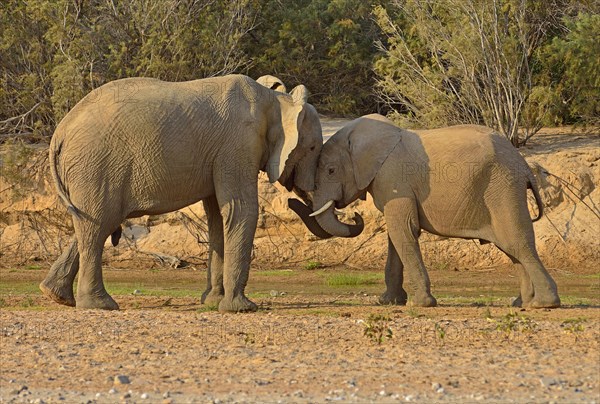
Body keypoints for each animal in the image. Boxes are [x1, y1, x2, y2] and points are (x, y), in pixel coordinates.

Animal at [41, 73, 324, 312]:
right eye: (312, 148)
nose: (295, 198)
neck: (273, 100)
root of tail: (59, 133)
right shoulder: (239, 144)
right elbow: (240, 209)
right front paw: (241, 309)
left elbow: (217, 217)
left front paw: (213, 302)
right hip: (96, 166)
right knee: (98, 225)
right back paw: (101, 305)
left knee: (91, 223)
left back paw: (57, 296)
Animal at [292, 114, 560, 310]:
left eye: (330, 170)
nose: (355, 216)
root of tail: (524, 165)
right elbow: (396, 236)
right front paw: (388, 302)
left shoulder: (394, 178)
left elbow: (403, 230)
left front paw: (420, 304)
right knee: (510, 247)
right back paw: (520, 303)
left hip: (503, 189)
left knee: (517, 243)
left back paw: (543, 304)